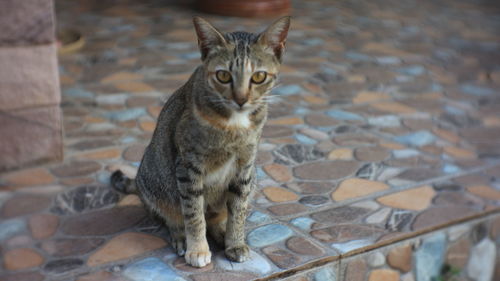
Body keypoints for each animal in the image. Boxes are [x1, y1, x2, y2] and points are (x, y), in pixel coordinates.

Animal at [109, 15, 290, 266]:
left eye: (258, 76)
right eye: (223, 75)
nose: (241, 99)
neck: (234, 125)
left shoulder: (245, 166)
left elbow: (238, 210)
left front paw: (234, 242)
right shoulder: (188, 166)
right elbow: (193, 212)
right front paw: (198, 249)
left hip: (252, 178)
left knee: (217, 216)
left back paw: (221, 233)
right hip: (157, 184)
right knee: (173, 217)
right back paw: (182, 238)